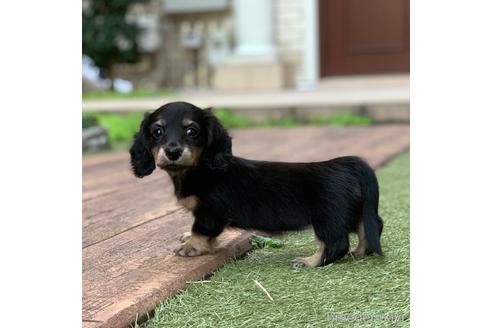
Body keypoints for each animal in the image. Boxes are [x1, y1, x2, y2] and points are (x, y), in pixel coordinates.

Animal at [129, 101, 382, 268]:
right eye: (157, 131)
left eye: (192, 131)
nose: (173, 152)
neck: (200, 170)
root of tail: (345, 164)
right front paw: (191, 239)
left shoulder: (210, 213)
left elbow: (200, 230)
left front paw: (191, 246)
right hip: (353, 211)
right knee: (370, 226)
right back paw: (361, 252)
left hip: (327, 219)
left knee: (336, 244)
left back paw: (310, 262)